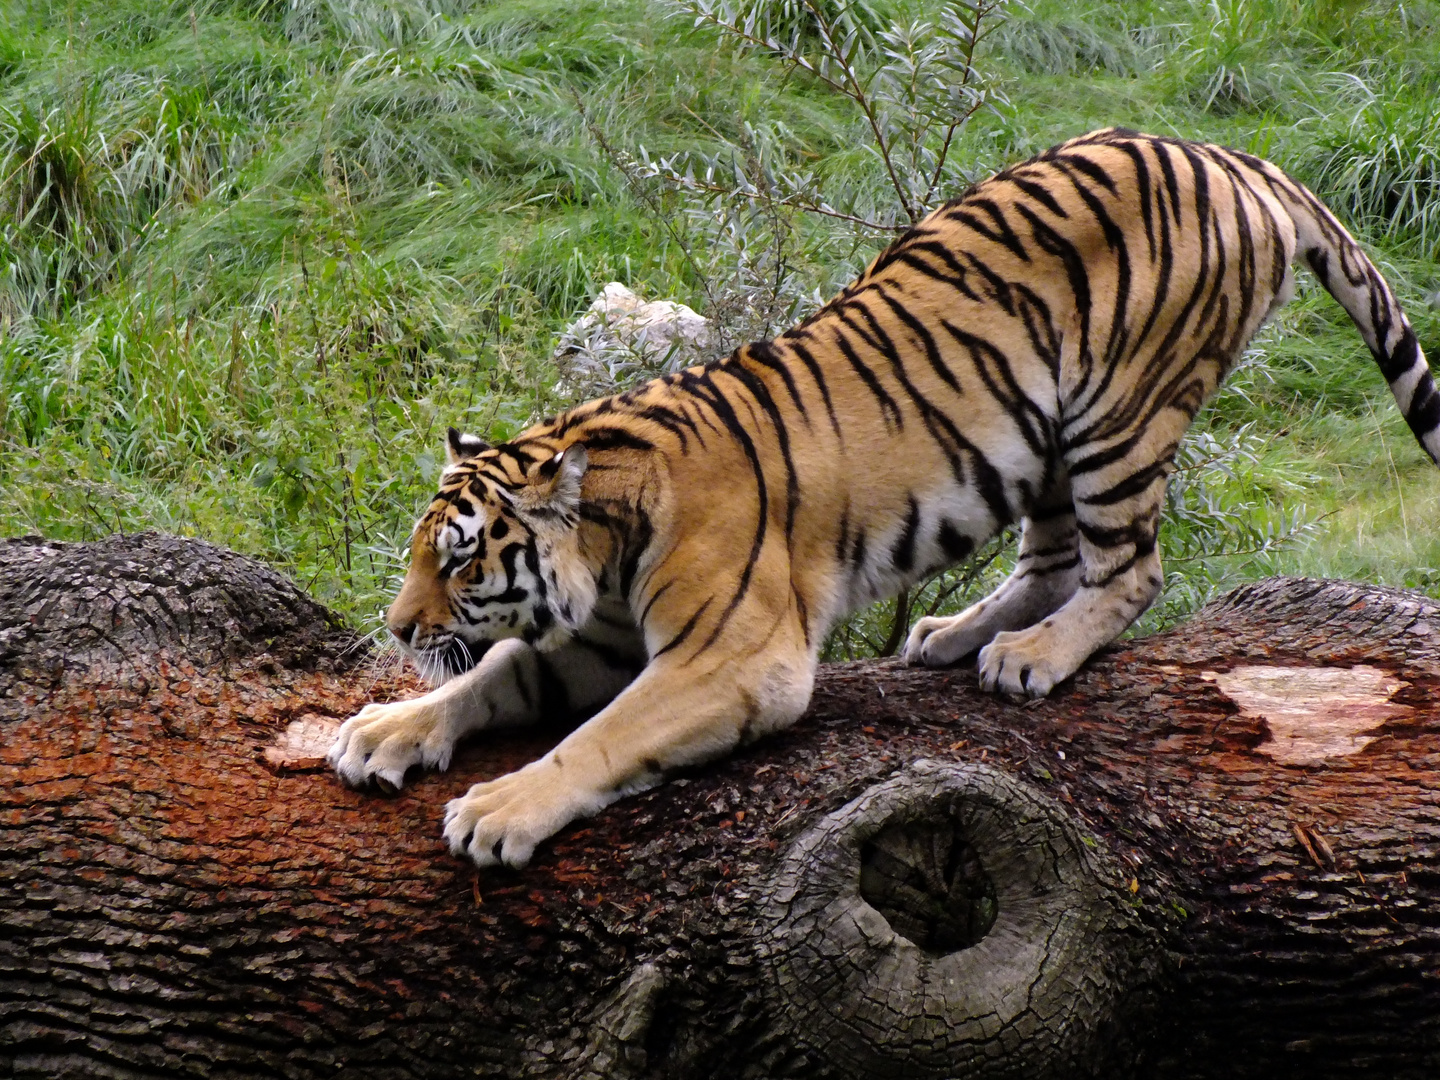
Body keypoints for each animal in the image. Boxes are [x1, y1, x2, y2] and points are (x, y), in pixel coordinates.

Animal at [326, 128, 1440, 869]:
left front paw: (499, 809)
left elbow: (597, 736)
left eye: (460, 558)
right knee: (1052, 561)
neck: (605, 538)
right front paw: (385, 729)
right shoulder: (594, 644)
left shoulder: (735, 660)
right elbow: (489, 676)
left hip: (1123, 409)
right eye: (423, 551)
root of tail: (1233, 154)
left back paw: (1033, 659)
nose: (397, 626)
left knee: (1129, 569)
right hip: (1037, 436)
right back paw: (953, 636)